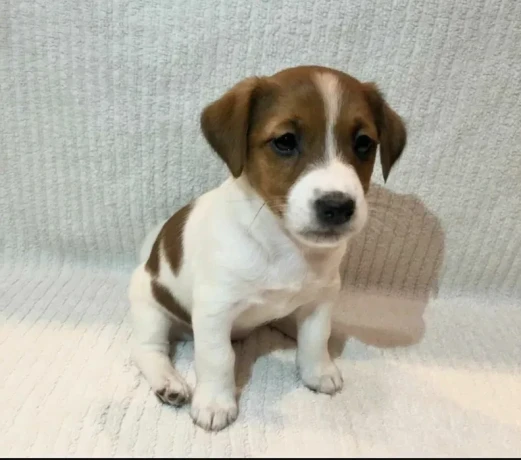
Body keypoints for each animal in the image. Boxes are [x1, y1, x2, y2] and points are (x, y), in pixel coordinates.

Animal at [129, 64, 406, 432]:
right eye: (285, 141)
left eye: (364, 144)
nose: (338, 206)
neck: (284, 244)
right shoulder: (215, 310)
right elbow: (217, 358)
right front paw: (215, 403)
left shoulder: (322, 299)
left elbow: (315, 338)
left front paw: (318, 370)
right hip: (151, 308)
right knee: (148, 349)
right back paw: (169, 382)